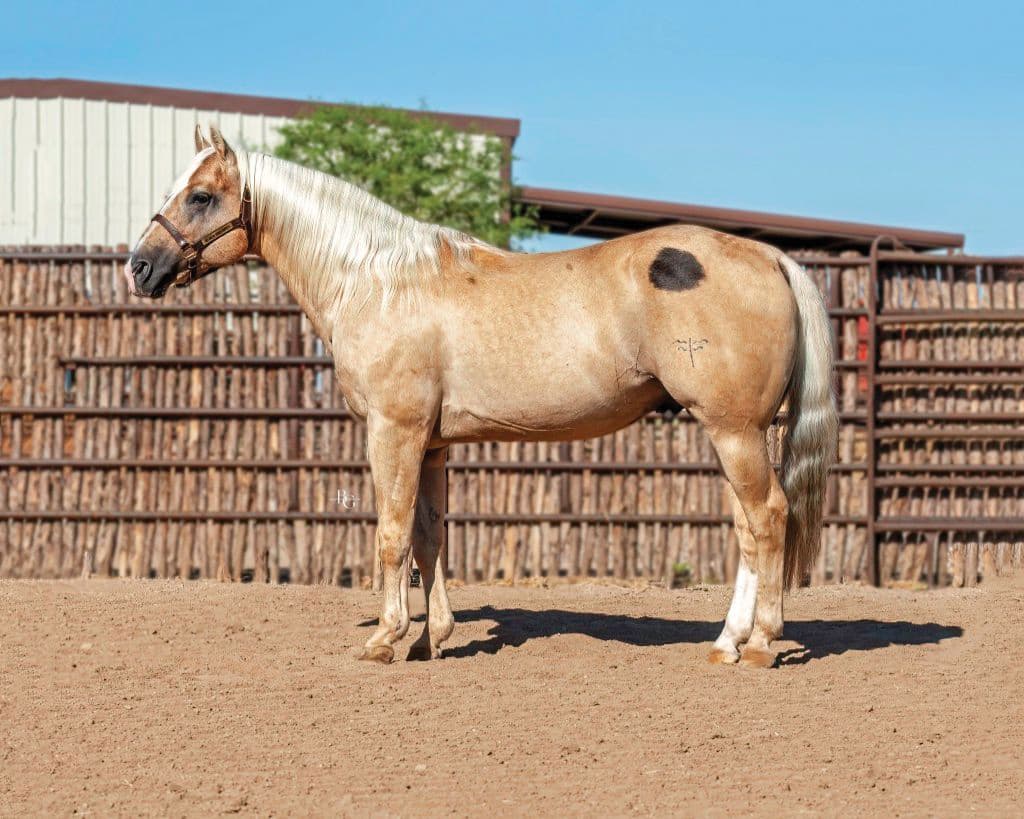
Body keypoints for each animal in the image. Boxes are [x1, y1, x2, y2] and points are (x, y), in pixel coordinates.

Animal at [127, 124, 838, 669]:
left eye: (200, 195)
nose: (139, 268)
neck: (380, 282)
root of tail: (771, 257)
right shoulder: (433, 445)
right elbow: (429, 538)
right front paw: (433, 641)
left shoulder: (394, 432)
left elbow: (391, 535)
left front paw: (385, 640)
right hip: (734, 433)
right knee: (748, 528)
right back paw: (725, 643)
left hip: (734, 430)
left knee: (769, 518)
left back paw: (761, 645)